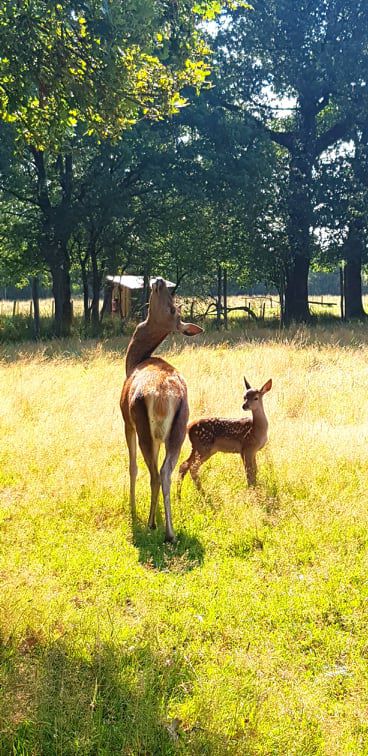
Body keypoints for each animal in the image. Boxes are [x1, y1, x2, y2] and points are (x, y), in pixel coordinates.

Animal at [120, 280, 201, 540]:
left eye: (174, 309)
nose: (160, 281)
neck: (135, 361)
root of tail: (165, 397)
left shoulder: (126, 421)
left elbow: (132, 467)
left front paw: (132, 509)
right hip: (180, 427)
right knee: (166, 471)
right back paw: (169, 531)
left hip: (141, 422)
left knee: (154, 473)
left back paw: (151, 523)